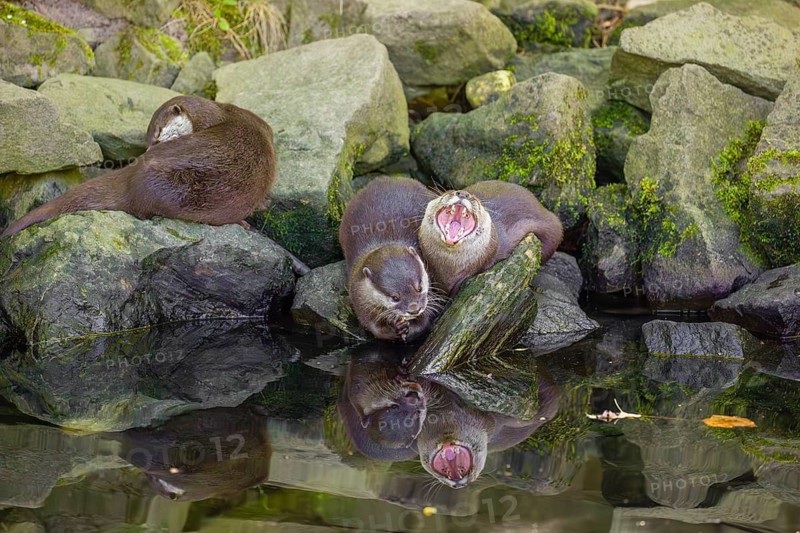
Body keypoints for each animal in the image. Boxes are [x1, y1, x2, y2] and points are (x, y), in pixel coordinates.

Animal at [339, 176, 441, 342]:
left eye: (419, 287)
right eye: (394, 297)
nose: (414, 309)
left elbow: (428, 316)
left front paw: (412, 329)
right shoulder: (358, 295)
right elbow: (372, 326)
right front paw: (394, 330)